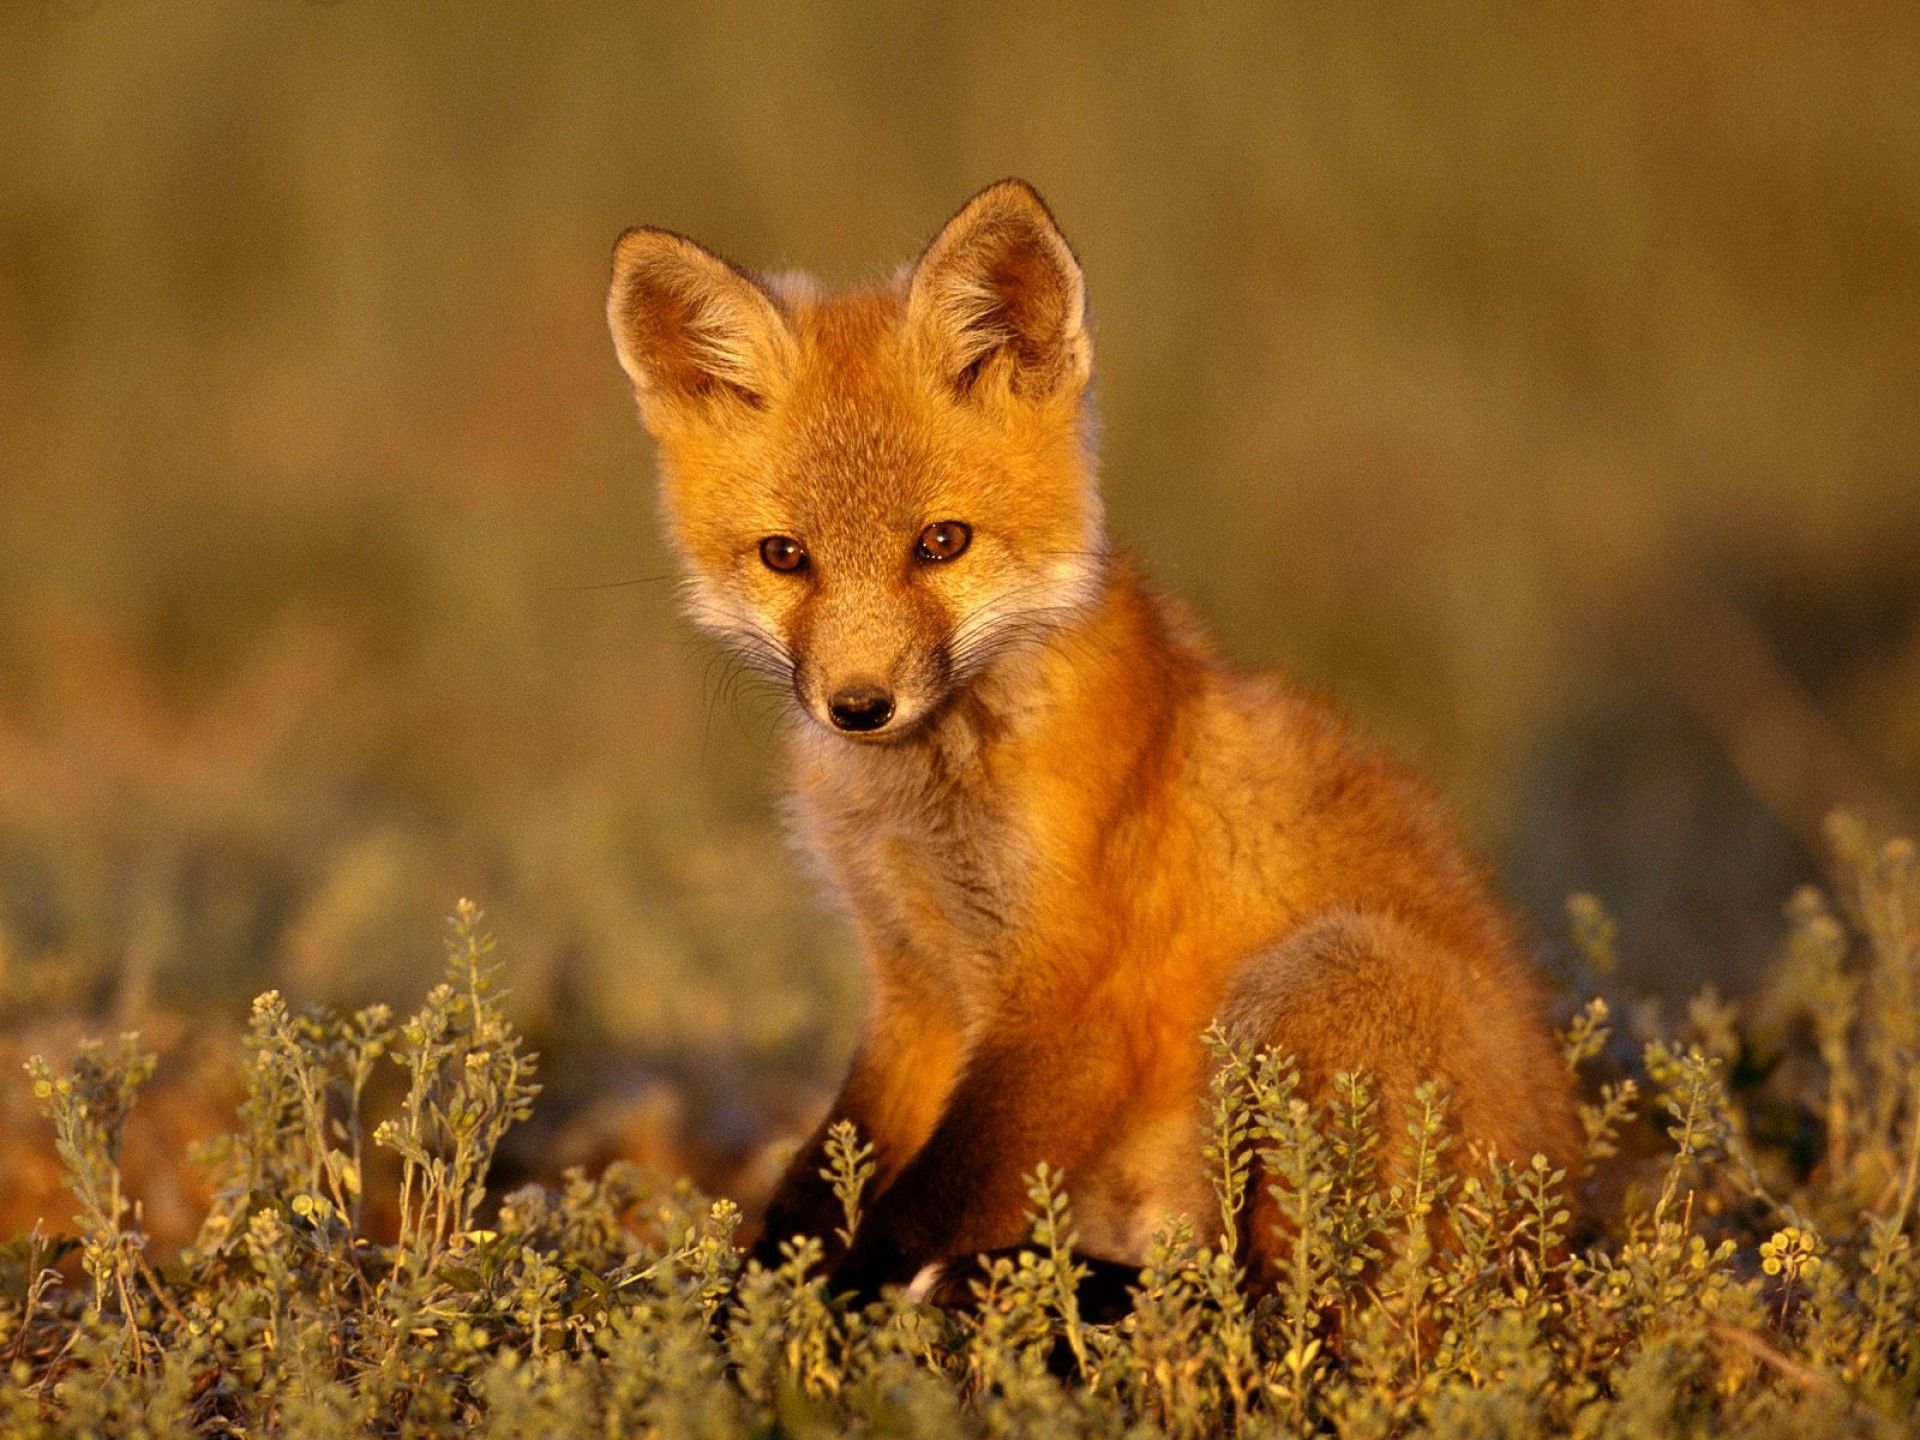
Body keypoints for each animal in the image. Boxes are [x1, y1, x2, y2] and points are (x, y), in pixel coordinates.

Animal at [610, 180, 1574, 1305]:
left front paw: (823, 1317)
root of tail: (1561, 1233)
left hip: (1320, 976)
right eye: (784, 557)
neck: (926, 803)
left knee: (1280, 1297)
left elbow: (916, 1208)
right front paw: (757, 1295)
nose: (858, 705)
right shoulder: (915, 983)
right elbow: (819, 1180)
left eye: (941, 543)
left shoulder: (1073, 1008)